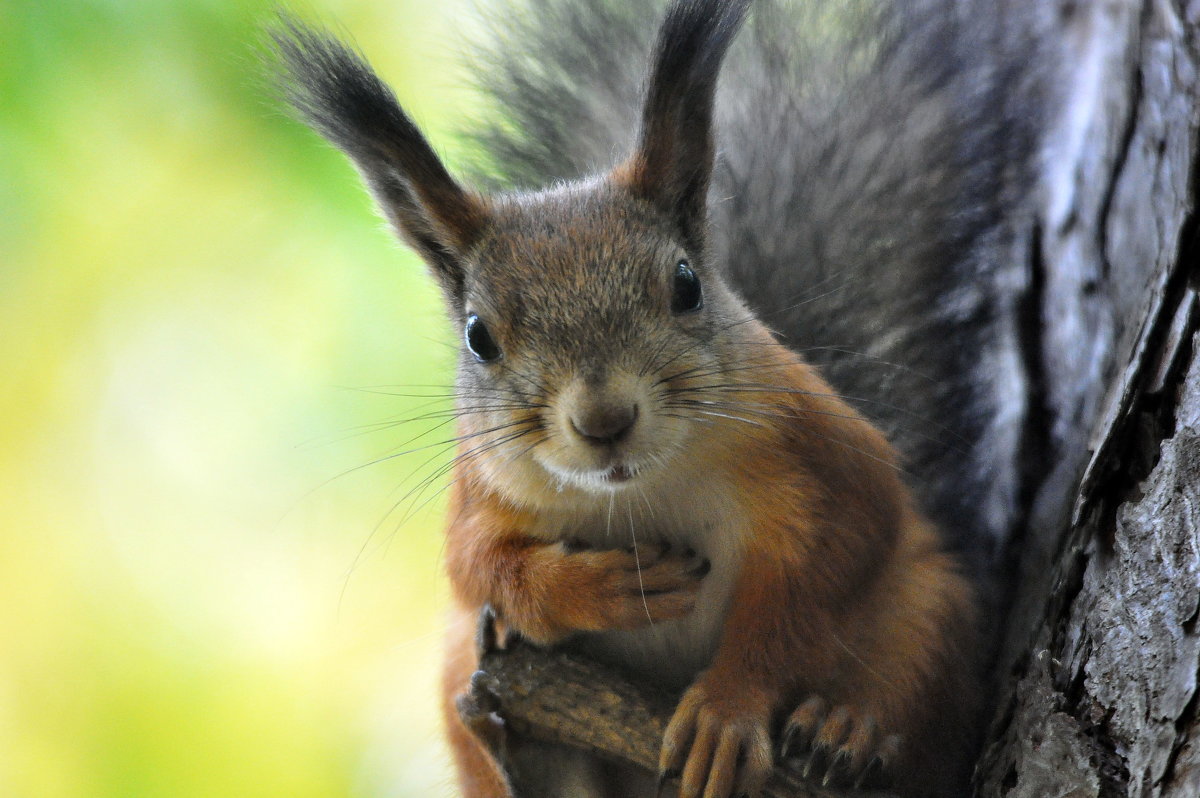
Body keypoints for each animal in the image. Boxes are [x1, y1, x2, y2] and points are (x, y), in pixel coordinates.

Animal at [270, 1, 1041, 796]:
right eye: (479, 337)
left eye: (686, 285)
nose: (603, 420)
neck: (643, 487)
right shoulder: (481, 491)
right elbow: (477, 565)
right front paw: (603, 590)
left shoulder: (823, 450)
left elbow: (814, 579)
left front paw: (729, 705)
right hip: (464, 659)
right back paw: (519, 747)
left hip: (927, 606)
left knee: (915, 680)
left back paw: (849, 727)